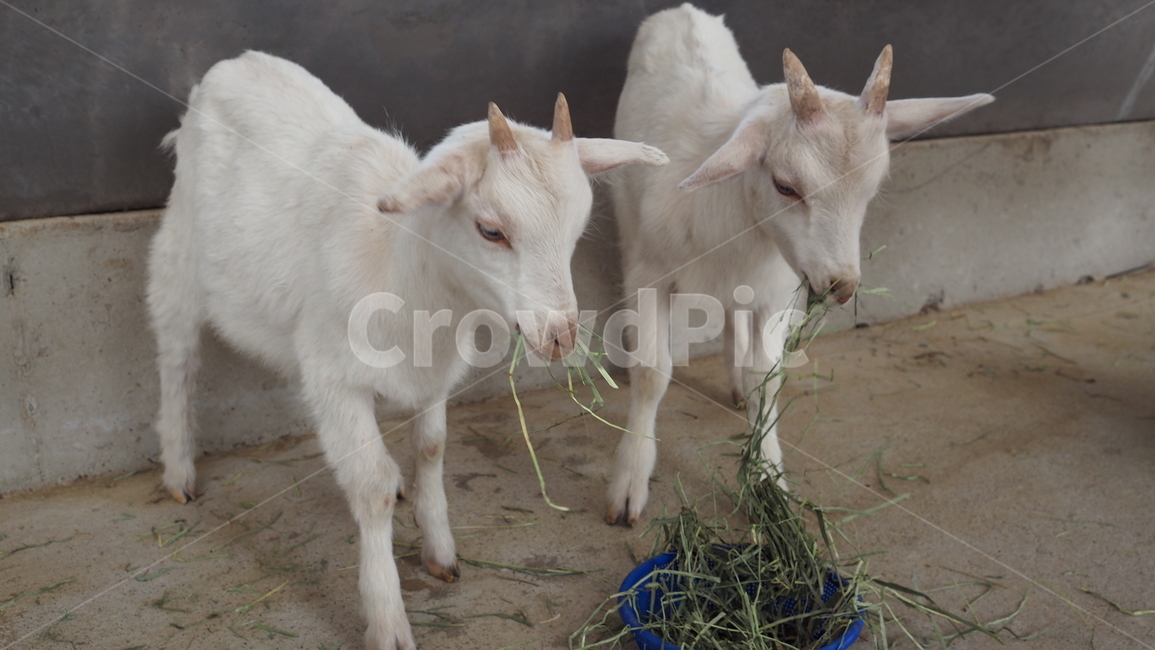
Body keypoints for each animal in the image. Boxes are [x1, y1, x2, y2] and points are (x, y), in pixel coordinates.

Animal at [147, 51, 667, 649]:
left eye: (577, 230)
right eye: (491, 230)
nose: (560, 335)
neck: (398, 269)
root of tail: (235, 63)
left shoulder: (432, 373)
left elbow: (432, 448)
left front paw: (439, 548)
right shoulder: (336, 380)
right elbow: (369, 486)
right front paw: (387, 618)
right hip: (178, 256)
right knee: (176, 356)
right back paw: (178, 471)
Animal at [605, 4, 993, 526]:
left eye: (874, 187)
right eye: (786, 185)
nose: (841, 285)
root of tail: (683, 10)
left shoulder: (775, 290)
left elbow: (765, 379)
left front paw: (768, 477)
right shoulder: (650, 276)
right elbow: (652, 373)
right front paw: (630, 480)